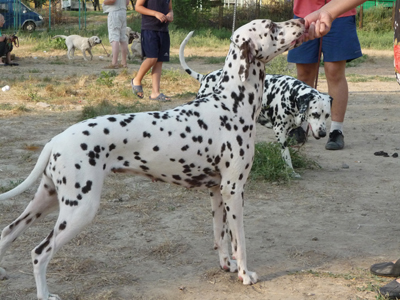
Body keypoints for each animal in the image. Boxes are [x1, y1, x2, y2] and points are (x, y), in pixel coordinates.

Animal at [0, 18, 304, 300]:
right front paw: (244, 274)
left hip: (47, 199)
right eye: (271, 26)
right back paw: (44, 293)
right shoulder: (234, 190)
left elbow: (220, 236)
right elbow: (239, 240)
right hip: (79, 209)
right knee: (40, 252)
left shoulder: (217, 192)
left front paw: (225, 264)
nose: (302, 21)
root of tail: (56, 140)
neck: (230, 103)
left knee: (8, 231)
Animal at [179, 31, 332, 177]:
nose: (323, 133)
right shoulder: (280, 131)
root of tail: (205, 77)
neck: (290, 93)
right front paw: (291, 172)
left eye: (327, 116)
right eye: (315, 114)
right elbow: (286, 155)